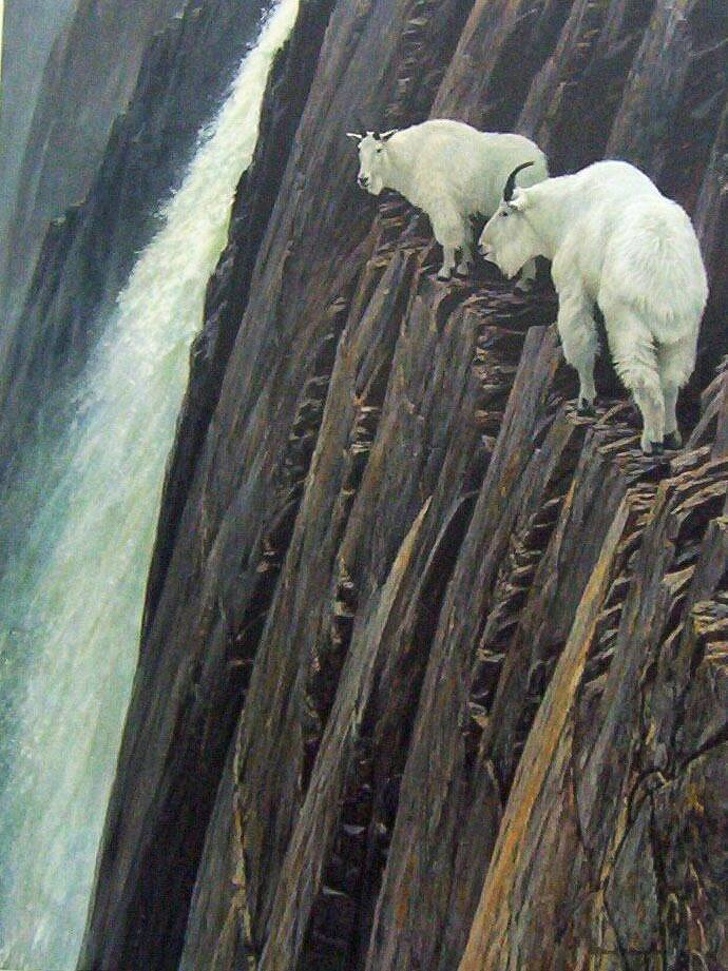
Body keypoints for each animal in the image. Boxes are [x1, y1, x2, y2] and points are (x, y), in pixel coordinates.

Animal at [347, 120, 548, 283]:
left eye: (378, 150)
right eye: (359, 149)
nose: (363, 179)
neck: (414, 155)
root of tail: (540, 160)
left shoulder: (442, 204)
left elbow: (447, 236)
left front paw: (445, 272)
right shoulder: (460, 209)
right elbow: (465, 236)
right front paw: (463, 268)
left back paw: (525, 282)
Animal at [478, 159, 709, 454]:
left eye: (505, 213)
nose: (483, 247)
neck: (567, 208)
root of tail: (665, 273)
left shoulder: (573, 288)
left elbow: (582, 343)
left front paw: (585, 402)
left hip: (628, 322)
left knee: (644, 379)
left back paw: (651, 441)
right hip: (685, 332)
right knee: (671, 379)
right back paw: (671, 435)